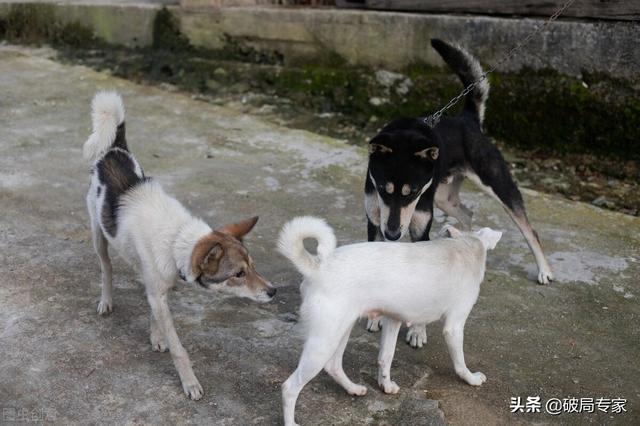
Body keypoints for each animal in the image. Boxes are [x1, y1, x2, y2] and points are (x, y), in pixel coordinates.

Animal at [82, 91, 276, 402]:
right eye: (238, 274)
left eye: (253, 266)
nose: (273, 291)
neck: (177, 238)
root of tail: (114, 149)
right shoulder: (158, 291)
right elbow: (179, 349)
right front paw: (190, 382)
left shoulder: (160, 289)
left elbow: (155, 313)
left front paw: (156, 336)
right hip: (98, 234)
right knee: (106, 268)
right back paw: (106, 300)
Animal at [278, 218, 502, 424]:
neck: (465, 245)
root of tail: (318, 268)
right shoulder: (454, 327)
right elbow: (460, 362)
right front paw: (471, 379)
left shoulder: (392, 320)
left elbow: (385, 357)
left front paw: (385, 385)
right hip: (323, 342)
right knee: (290, 387)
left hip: (340, 331)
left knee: (333, 365)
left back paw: (353, 388)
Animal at [362, 40, 552, 342]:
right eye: (382, 189)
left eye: (413, 192)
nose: (392, 234)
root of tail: (467, 119)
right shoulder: (375, 221)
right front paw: (376, 318)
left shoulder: (419, 226)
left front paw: (417, 330)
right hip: (443, 197)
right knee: (466, 213)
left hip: (495, 182)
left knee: (528, 228)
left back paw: (544, 270)